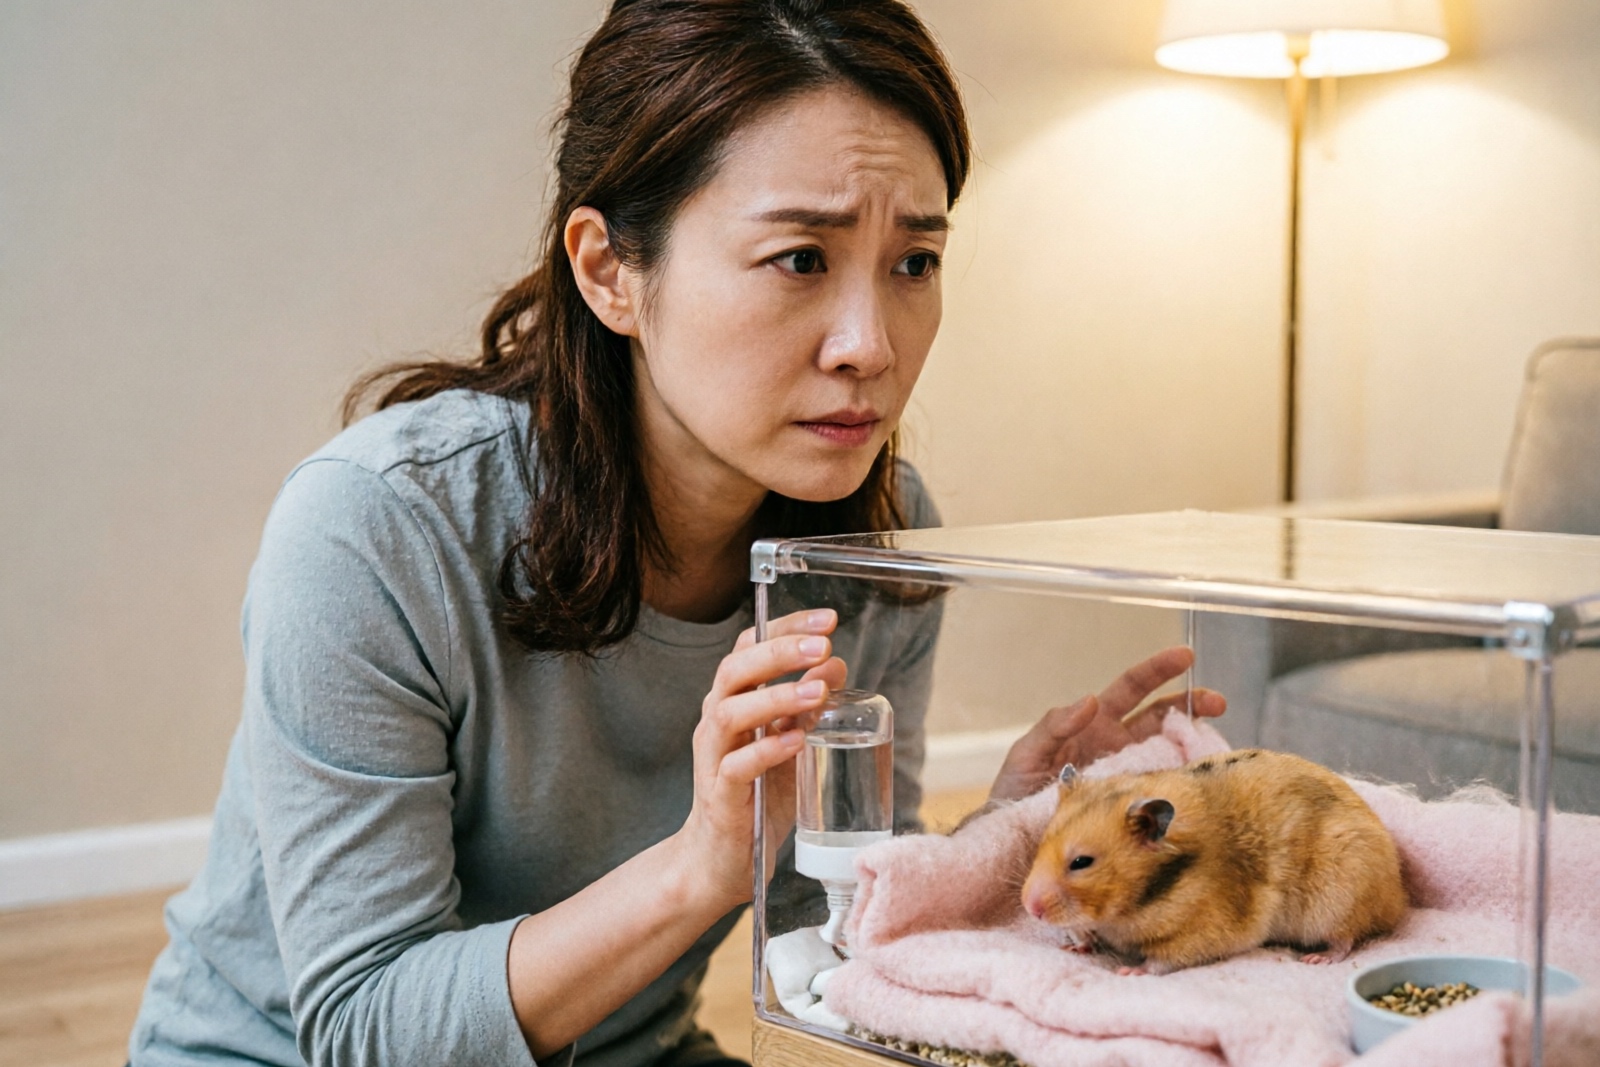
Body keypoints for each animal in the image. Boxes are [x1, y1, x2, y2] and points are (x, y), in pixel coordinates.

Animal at [1020, 749, 1407, 974]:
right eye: (1041, 844)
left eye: (1081, 862)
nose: (1029, 908)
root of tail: (1399, 900)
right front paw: (1074, 946)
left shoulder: (1204, 931)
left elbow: (1163, 959)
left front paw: (1130, 971)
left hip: (1340, 896)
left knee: (1347, 937)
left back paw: (1317, 959)